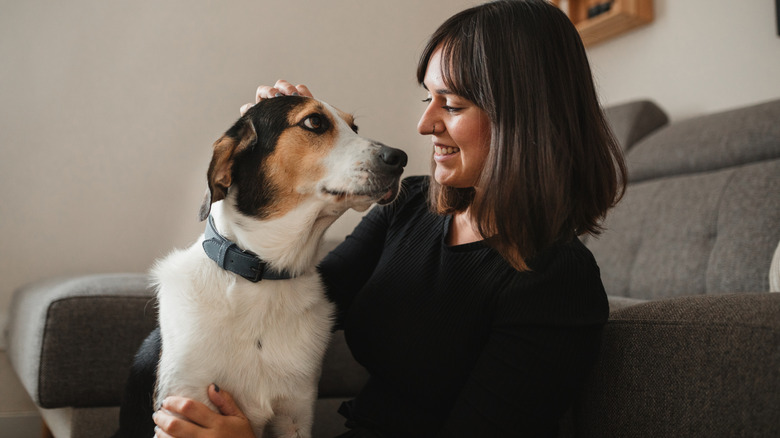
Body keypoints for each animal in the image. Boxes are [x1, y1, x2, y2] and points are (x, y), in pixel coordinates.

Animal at [121, 94, 406, 436]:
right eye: (314, 122)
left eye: (355, 127)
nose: (400, 157)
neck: (265, 276)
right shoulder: (180, 408)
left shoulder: (296, 415)